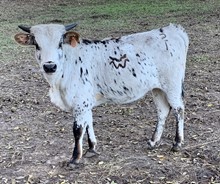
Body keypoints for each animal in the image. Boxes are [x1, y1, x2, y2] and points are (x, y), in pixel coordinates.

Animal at [14, 22, 189, 164]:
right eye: (36, 44)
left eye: (60, 43)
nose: (50, 66)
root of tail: (172, 29)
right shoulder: (85, 103)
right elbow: (88, 123)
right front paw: (91, 148)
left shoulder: (80, 102)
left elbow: (78, 129)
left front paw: (75, 158)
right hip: (157, 88)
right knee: (163, 111)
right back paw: (153, 141)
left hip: (172, 85)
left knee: (179, 109)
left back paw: (177, 143)